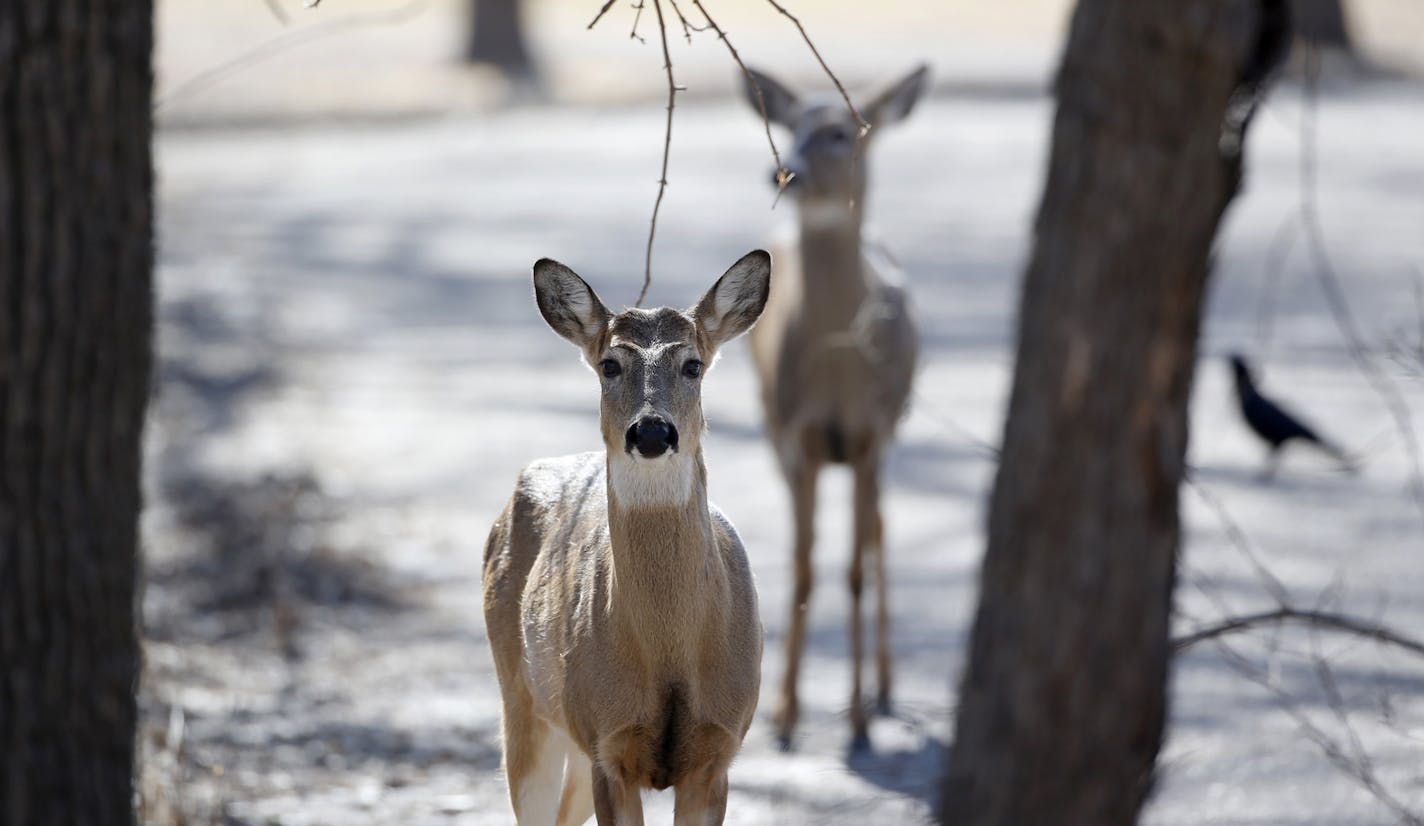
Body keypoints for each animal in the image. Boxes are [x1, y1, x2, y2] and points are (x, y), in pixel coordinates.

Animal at [487, 252, 780, 826]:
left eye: (692, 364)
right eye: (610, 365)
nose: (650, 431)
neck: (670, 657)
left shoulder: (717, 751)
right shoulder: (608, 743)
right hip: (525, 701)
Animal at [740, 63, 928, 746]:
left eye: (843, 132)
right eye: (788, 126)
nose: (785, 171)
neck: (840, 374)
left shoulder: (872, 432)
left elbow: (851, 569)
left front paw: (858, 719)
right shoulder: (798, 435)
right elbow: (802, 566)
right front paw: (785, 712)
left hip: (894, 429)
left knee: (877, 531)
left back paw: (886, 685)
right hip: (771, 424)